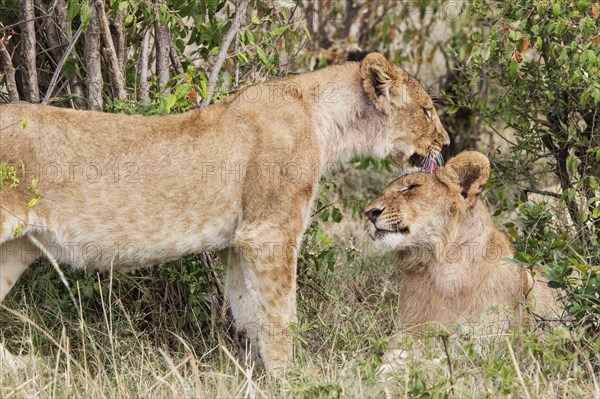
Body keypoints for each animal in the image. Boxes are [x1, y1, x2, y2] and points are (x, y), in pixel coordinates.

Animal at [1, 51, 450, 374]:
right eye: (427, 111)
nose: (444, 143)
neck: (323, 121)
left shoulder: (238, 243)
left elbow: (249, 311)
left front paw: (256, 374)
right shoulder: (271, 232)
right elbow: (280, 313)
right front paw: (293, 377)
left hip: (17, 249)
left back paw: (20, 369)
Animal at [366, 152, 564, 368]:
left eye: (411, 187)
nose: (369, 213)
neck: (438, 269)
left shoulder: (492, 344)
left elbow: (443, 361)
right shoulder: (407, 333)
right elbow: (393, 359)